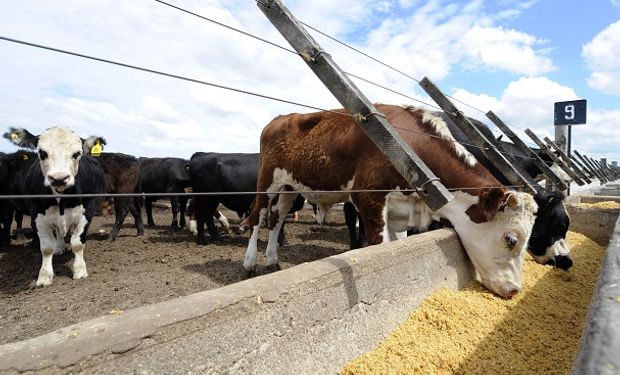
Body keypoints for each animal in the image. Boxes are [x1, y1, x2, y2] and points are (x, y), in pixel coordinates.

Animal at [2, 128, 104, 286]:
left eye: (77, 153)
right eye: (42, 153)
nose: (59, 178)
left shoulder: (88, 210)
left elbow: (77, 242)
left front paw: (80, 270)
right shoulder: (37, 214)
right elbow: (47, 247)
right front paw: (44, 276)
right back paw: (60, 248)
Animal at [242, 104, 536, 298]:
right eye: (511, 239)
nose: (515, 291)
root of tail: (281, 117)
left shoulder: (400, 208)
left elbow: (398, 244)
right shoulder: (368, 198)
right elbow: (379, 245)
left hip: (289, 187)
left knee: (277, 218)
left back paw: (272, 260)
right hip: (267, 181)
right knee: (258, 217)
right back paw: (250, 263)